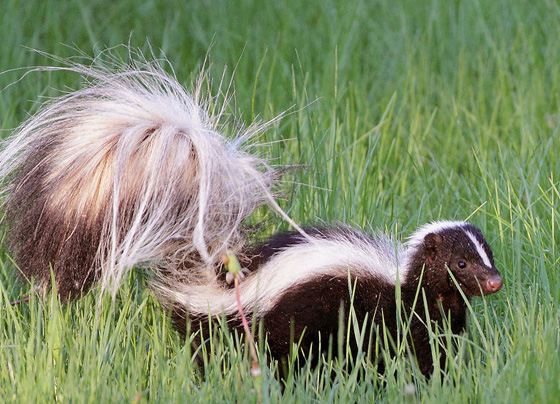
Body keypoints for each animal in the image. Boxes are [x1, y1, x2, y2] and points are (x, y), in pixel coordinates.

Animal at [0, 59, 504, 376]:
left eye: (488, 256)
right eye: (461, 264)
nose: (496, 282)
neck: (409, 283)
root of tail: (212, 274)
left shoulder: (439, 319)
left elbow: (438, 350)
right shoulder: (395, 314)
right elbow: (412, 353)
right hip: (262, 326)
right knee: (231, 354)